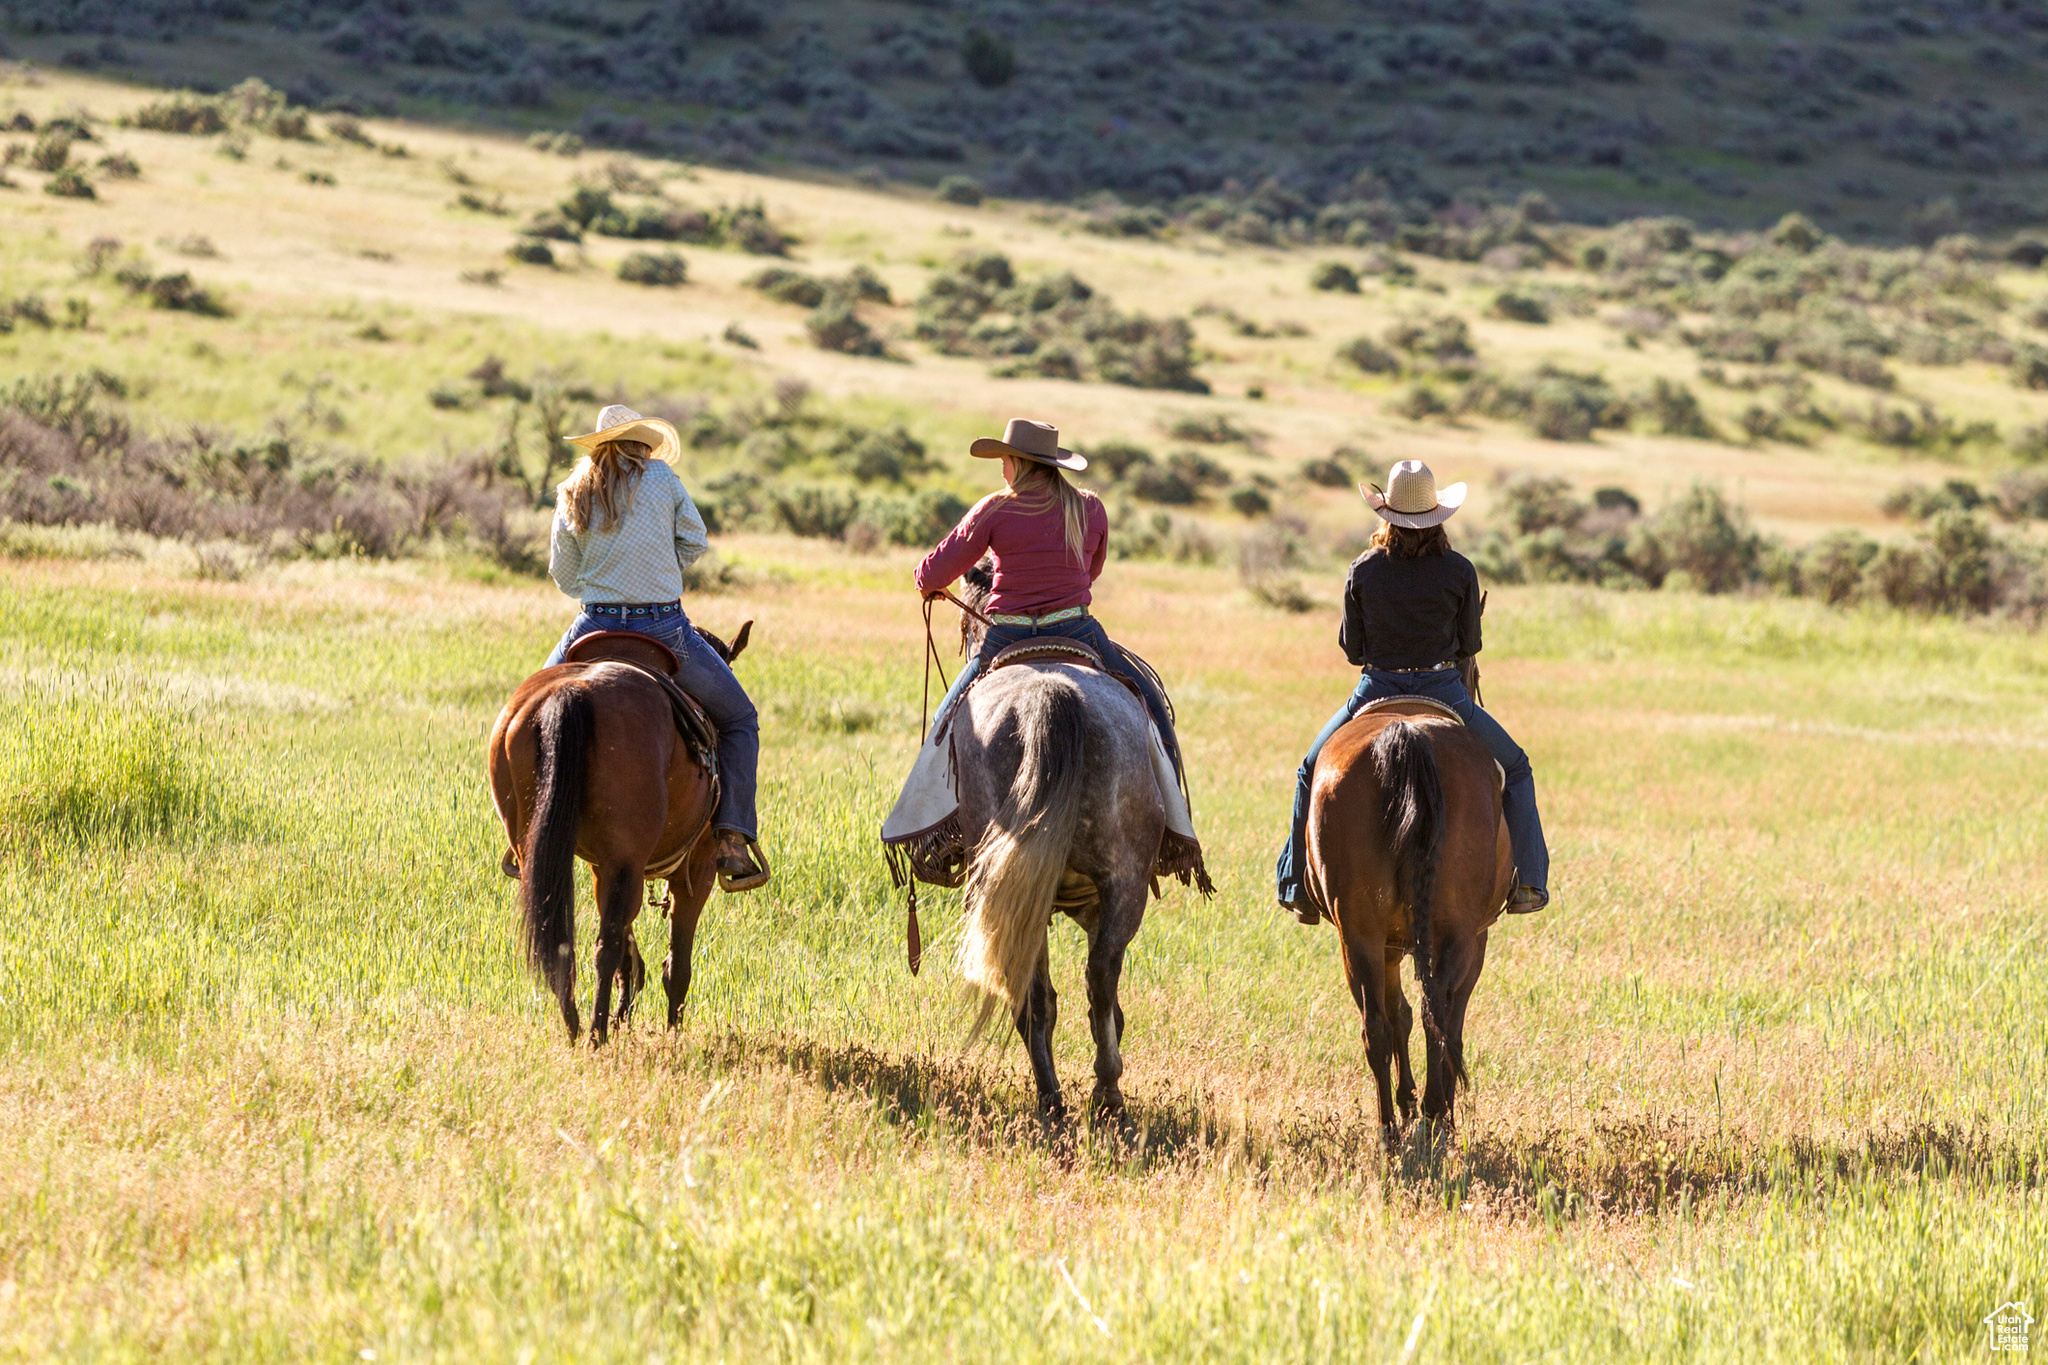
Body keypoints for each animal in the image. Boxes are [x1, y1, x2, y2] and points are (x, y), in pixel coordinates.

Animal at [487, 622, 753, 1047]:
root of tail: (575, 692)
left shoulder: (603, 867)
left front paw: (625, 1011)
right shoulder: (697, 871)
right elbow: (677, 962)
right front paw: (672, 1032)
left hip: (546, 853)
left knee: (564, 940)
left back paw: (575, 1026)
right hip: (632, 861)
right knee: (606, 945)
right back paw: (595, 1033)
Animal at [1302, 703, 1515, 1146]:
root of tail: (1407, 735)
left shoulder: (1386, 947)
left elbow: (1399, 1013)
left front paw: (1406, 1101)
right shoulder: (1477, 941)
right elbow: (1449, 1022)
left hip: (1359, 936)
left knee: (1378, 1027)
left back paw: (1388, 1131)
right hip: (1455, 936)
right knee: (1440, 1022)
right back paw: (1437, 1118)